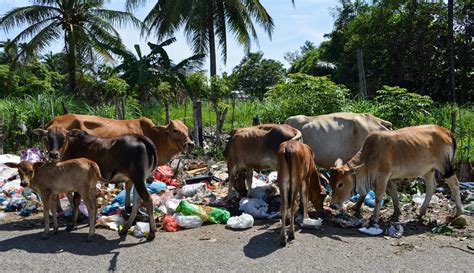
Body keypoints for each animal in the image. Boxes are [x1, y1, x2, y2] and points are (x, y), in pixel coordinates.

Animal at [330, 124, 462, 223]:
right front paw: (396, 212)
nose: (332, 206)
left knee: (454, 184)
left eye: (340, 184)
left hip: (445, 166)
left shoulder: (383, 176)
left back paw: (459, 212)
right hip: (429, 170)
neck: (369, 154)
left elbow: (378, 196)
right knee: (431, 187)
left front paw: (375, 218)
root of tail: (445, 131)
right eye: (331, 183)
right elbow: (393, 193)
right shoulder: (388, 178)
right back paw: (421, 212)